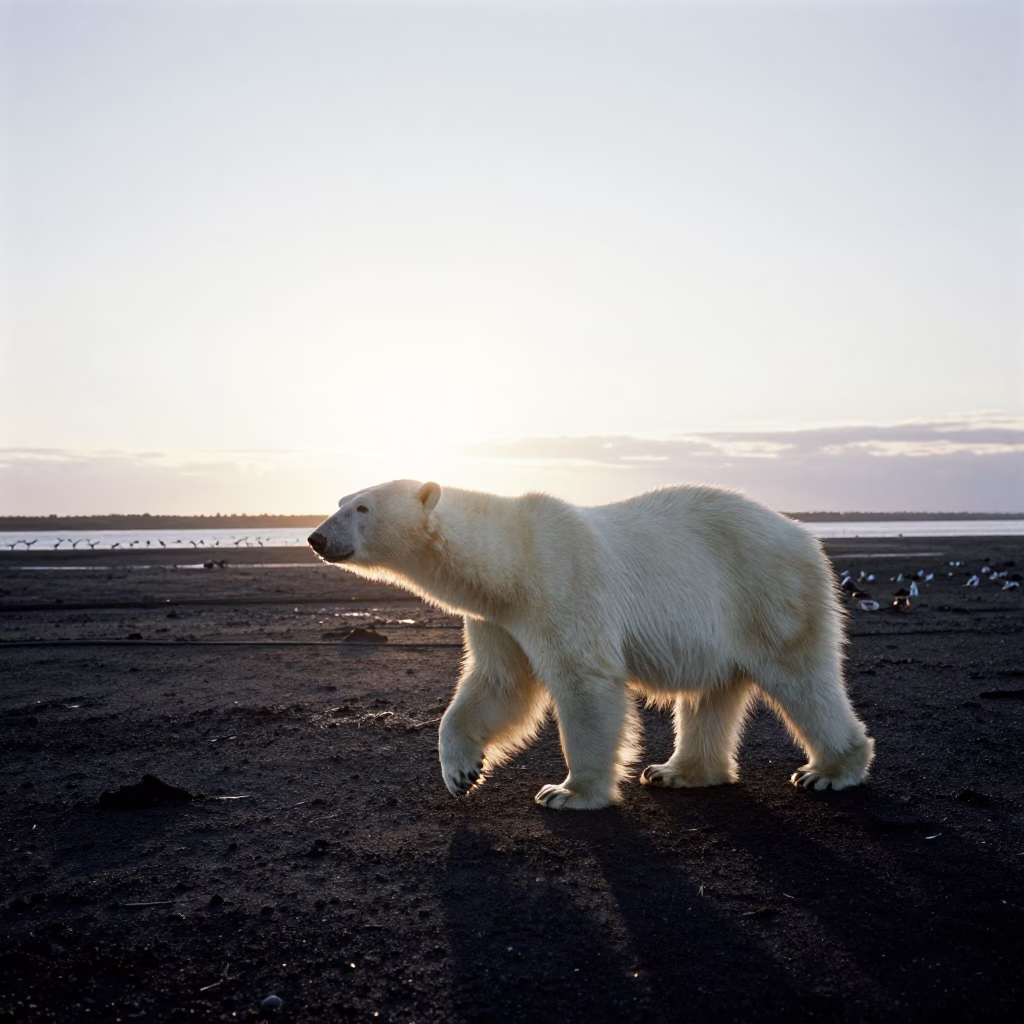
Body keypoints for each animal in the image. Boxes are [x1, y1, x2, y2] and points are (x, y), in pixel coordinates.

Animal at [308, 480, 874, 810]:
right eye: (338, 502)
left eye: (361, 507)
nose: (315, 538)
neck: (511, 561)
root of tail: (803, 534)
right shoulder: (498, 618)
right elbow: (499, 684)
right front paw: (461, 771)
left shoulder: (562, 583)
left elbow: (583, 682)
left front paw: (566, 792)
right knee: (710, 693)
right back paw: (678, 772)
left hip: (767, 588)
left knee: (801, 678)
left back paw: (828, 772)